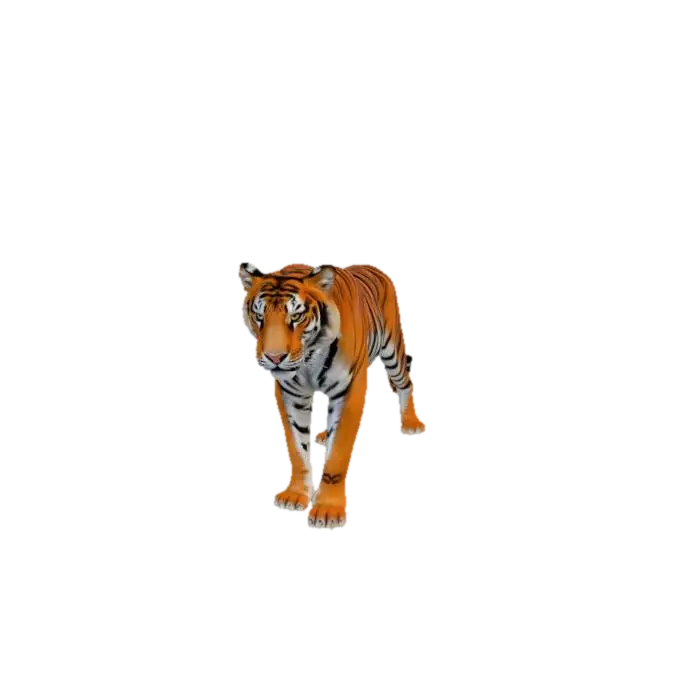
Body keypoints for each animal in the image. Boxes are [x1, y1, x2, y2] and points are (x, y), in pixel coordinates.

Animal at [237, 257, 427, 527]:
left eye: (296, 316)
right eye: (259, 316)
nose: (274, 358)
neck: (308, 363)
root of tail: (374, 265)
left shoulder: (351, 391)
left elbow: (337, 454)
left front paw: (329, 510)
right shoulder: (288, 396)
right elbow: (297, 449)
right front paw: (293, 497)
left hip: (393, 350)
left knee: (407, 380)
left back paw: (412, 423)